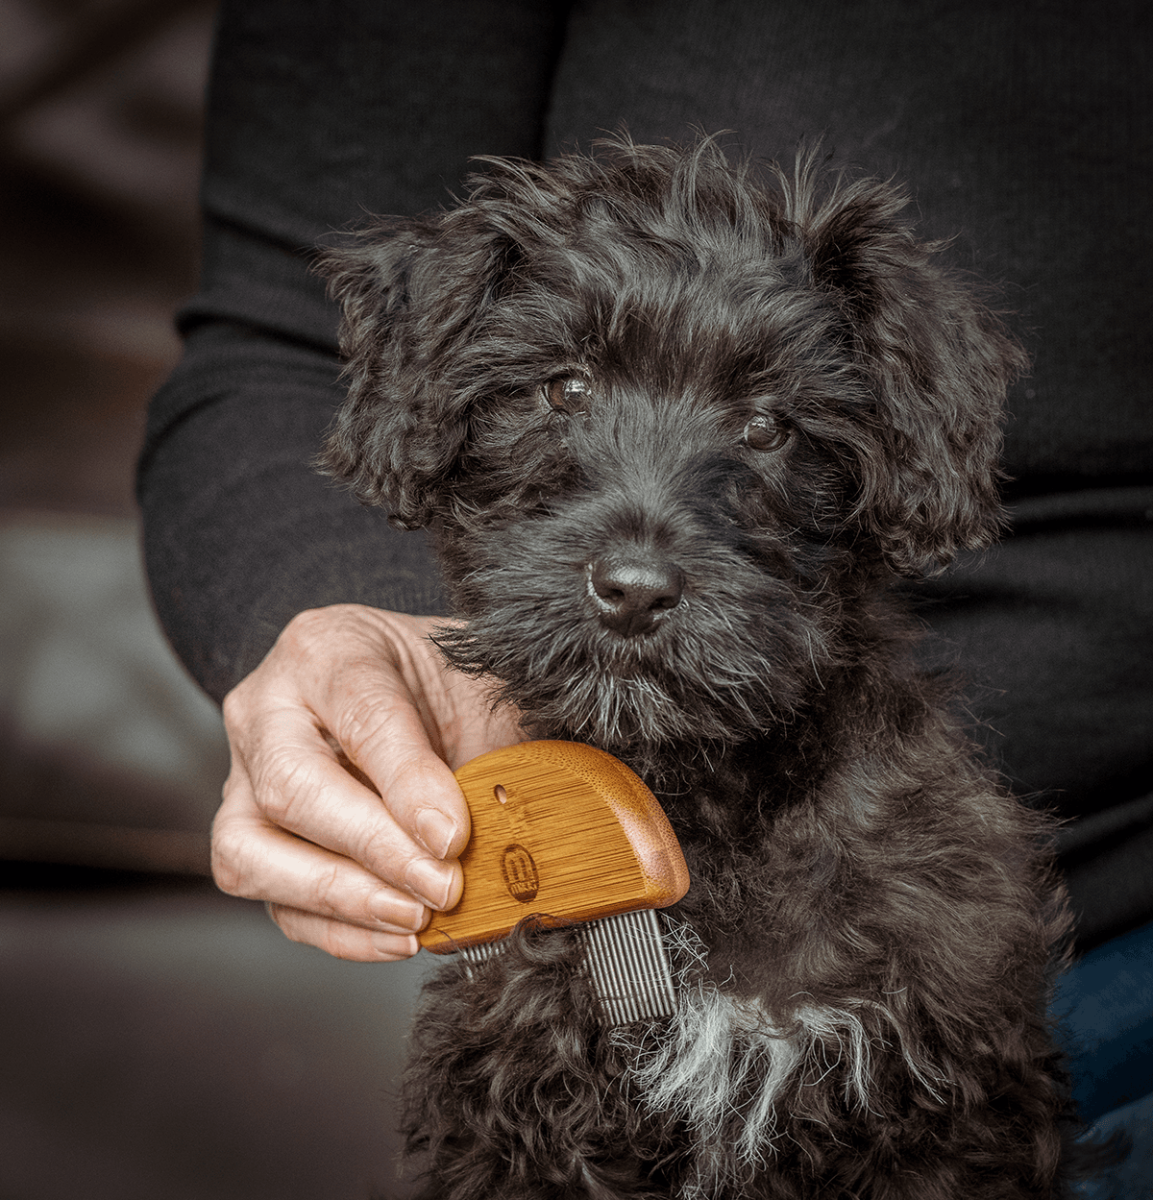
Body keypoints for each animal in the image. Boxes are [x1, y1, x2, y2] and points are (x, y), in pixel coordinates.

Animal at [319, 138, 1075, 1200]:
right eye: (564, 389)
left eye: (767, 426)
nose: (633, 591)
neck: (698, 806)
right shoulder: (518, 1102)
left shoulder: (936, 1100)